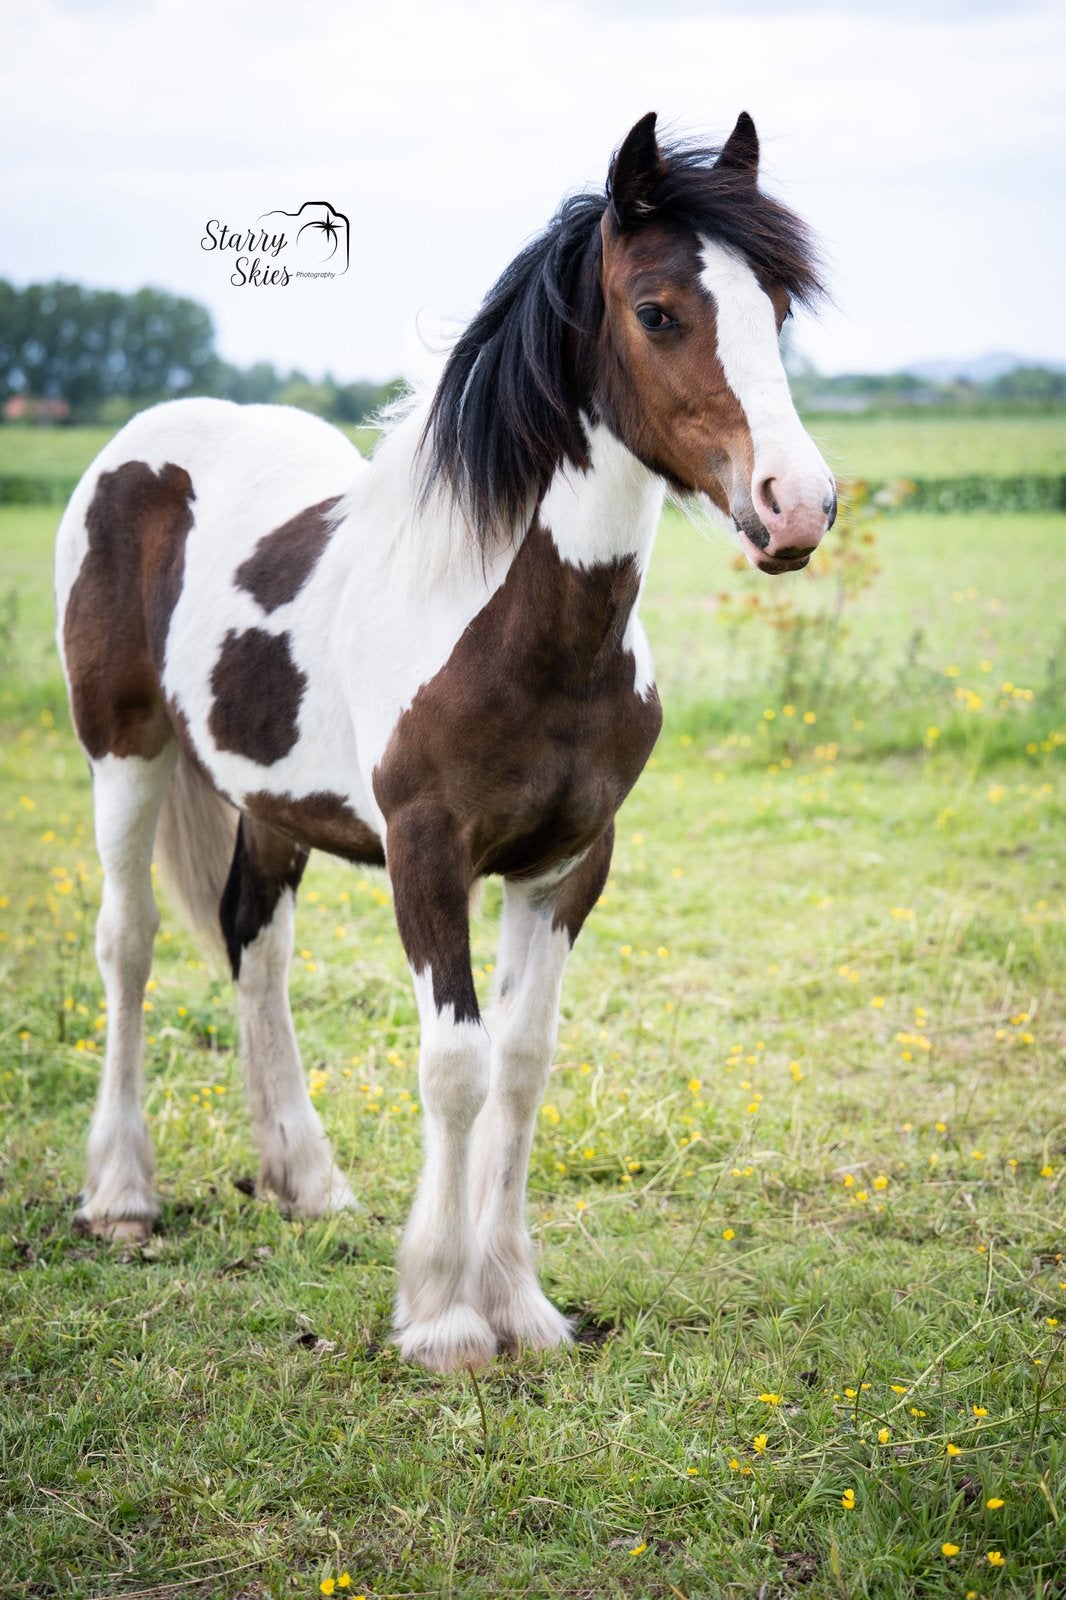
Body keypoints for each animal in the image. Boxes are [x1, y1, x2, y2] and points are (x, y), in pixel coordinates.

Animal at [55, 111, 836, 1372]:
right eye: (658, 310)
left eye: (777, 307)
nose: (796, 505)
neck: (521, 627)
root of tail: (144, 443)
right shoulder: (426, 854)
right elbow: (456, 1063)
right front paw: (445, 1316)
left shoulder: (566, 865)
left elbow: (521, 1064)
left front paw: (522, 1303)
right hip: (122, 750)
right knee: (127, 945)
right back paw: (122, 1196)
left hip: (273, 803)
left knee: (253, 944)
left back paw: (307, 1182)